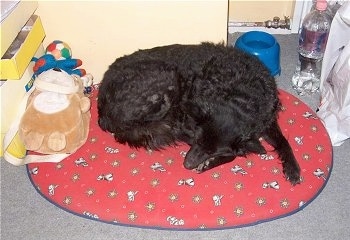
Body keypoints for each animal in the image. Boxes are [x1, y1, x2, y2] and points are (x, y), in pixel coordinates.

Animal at [98, 43, 300, 185]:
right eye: (198, 141)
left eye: (211, 150)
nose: (187, 165)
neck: (240, 95)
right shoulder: (186, 123)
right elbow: (233, 154)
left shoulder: (267, 119)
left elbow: (283, 141)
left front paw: (293, 169)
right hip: (168, 81)